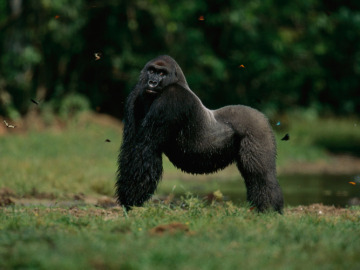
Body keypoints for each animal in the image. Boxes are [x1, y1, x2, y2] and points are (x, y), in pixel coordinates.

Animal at [115, 55, 284, 213]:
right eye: (151, 71)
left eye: (162, 73)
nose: (152, 83)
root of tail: (261, 116)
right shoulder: (136, 93)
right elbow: (132, 147)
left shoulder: (172, 98)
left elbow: (146, 148)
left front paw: (131, 201)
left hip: (257, 128)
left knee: (261, 175)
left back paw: (269, 209)